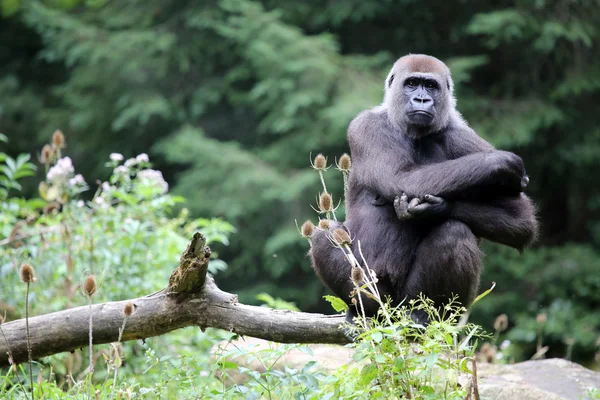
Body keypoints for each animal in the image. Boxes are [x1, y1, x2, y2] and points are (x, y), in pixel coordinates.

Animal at [312, 54, 536, 322]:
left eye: (430, 86)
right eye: (411, 84)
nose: (421, 99)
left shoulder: (463, 136)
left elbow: (521, 220)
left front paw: (437, 208)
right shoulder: (366, 126)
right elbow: (401, 177)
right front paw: (497, 162)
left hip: (411, 303)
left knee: (453, 233)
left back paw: (423, 315)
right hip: (376, 292)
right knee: (325, 233)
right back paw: (364, 311)